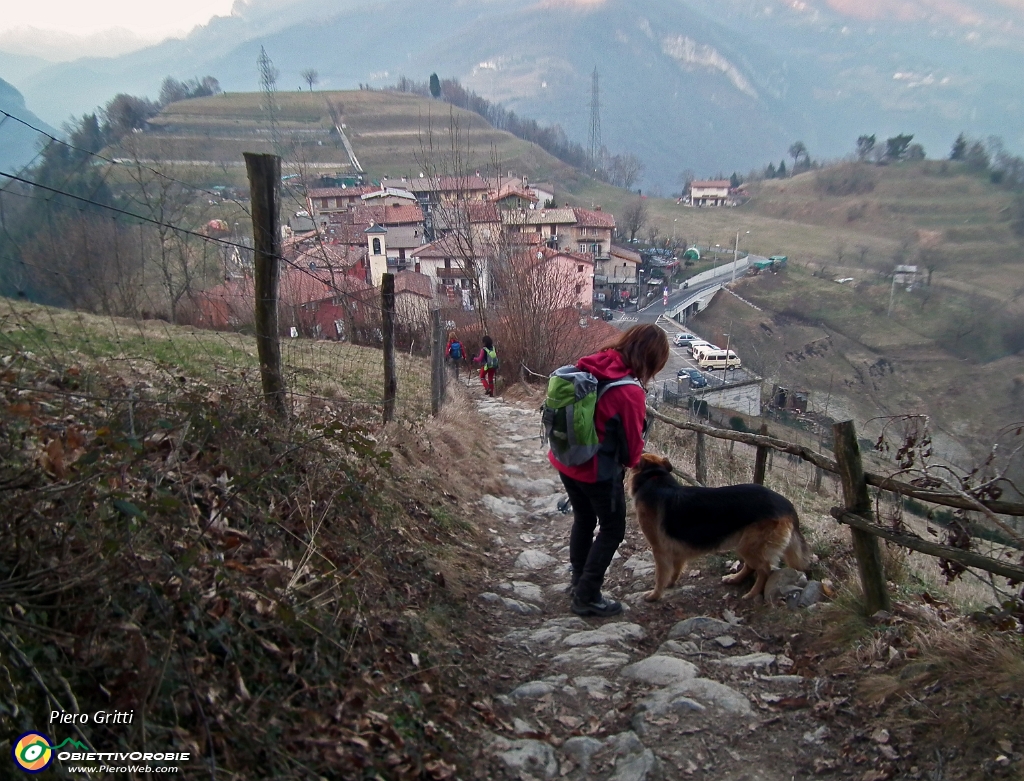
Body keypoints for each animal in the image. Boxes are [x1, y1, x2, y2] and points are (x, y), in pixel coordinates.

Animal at [626, 452, 811, 605]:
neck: (654, 477)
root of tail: (788, 506)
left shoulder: (659, 549)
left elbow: (659, 576)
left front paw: (655, 595)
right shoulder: (676, 548)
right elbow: (676, 568)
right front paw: (671, 583)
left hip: (750, 546)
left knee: (765, 570)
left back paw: (752, 594)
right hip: (745, 544)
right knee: (752, 566)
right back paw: (734, 579)